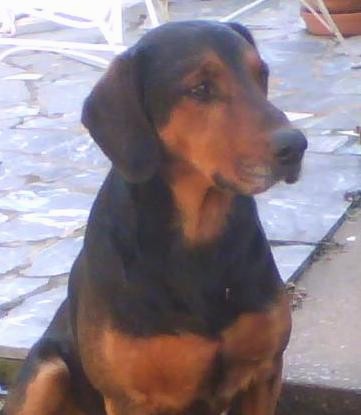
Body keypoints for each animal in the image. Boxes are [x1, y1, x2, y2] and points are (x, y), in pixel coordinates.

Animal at [2, 20, 306, 415]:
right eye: (201, 88)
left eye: (262, 75)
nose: (296, 146)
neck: (197, 238)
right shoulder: (131, 398)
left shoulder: (264, 373)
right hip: (46, 371)